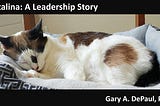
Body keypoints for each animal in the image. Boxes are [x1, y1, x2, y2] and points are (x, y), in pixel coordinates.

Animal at [0, 19, 156, 85]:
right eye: (23, 61)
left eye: (35, 56)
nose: (36, 66)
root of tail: (150, 53)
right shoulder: (50, 74)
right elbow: (43, 76)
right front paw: (28, 73)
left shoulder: (72, 66)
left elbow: (71, 79)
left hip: (113, 67)